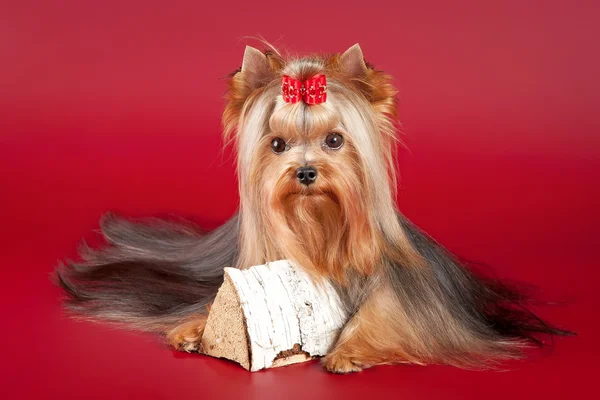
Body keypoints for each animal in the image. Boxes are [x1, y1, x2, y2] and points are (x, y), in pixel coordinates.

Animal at [56, 45, 572, 374]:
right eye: (277, 145)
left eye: (335, 140)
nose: (305, 172)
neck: (317, 226)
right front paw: (197, 327)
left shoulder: (405, 291)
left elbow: (387, 310)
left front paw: (350, 349)